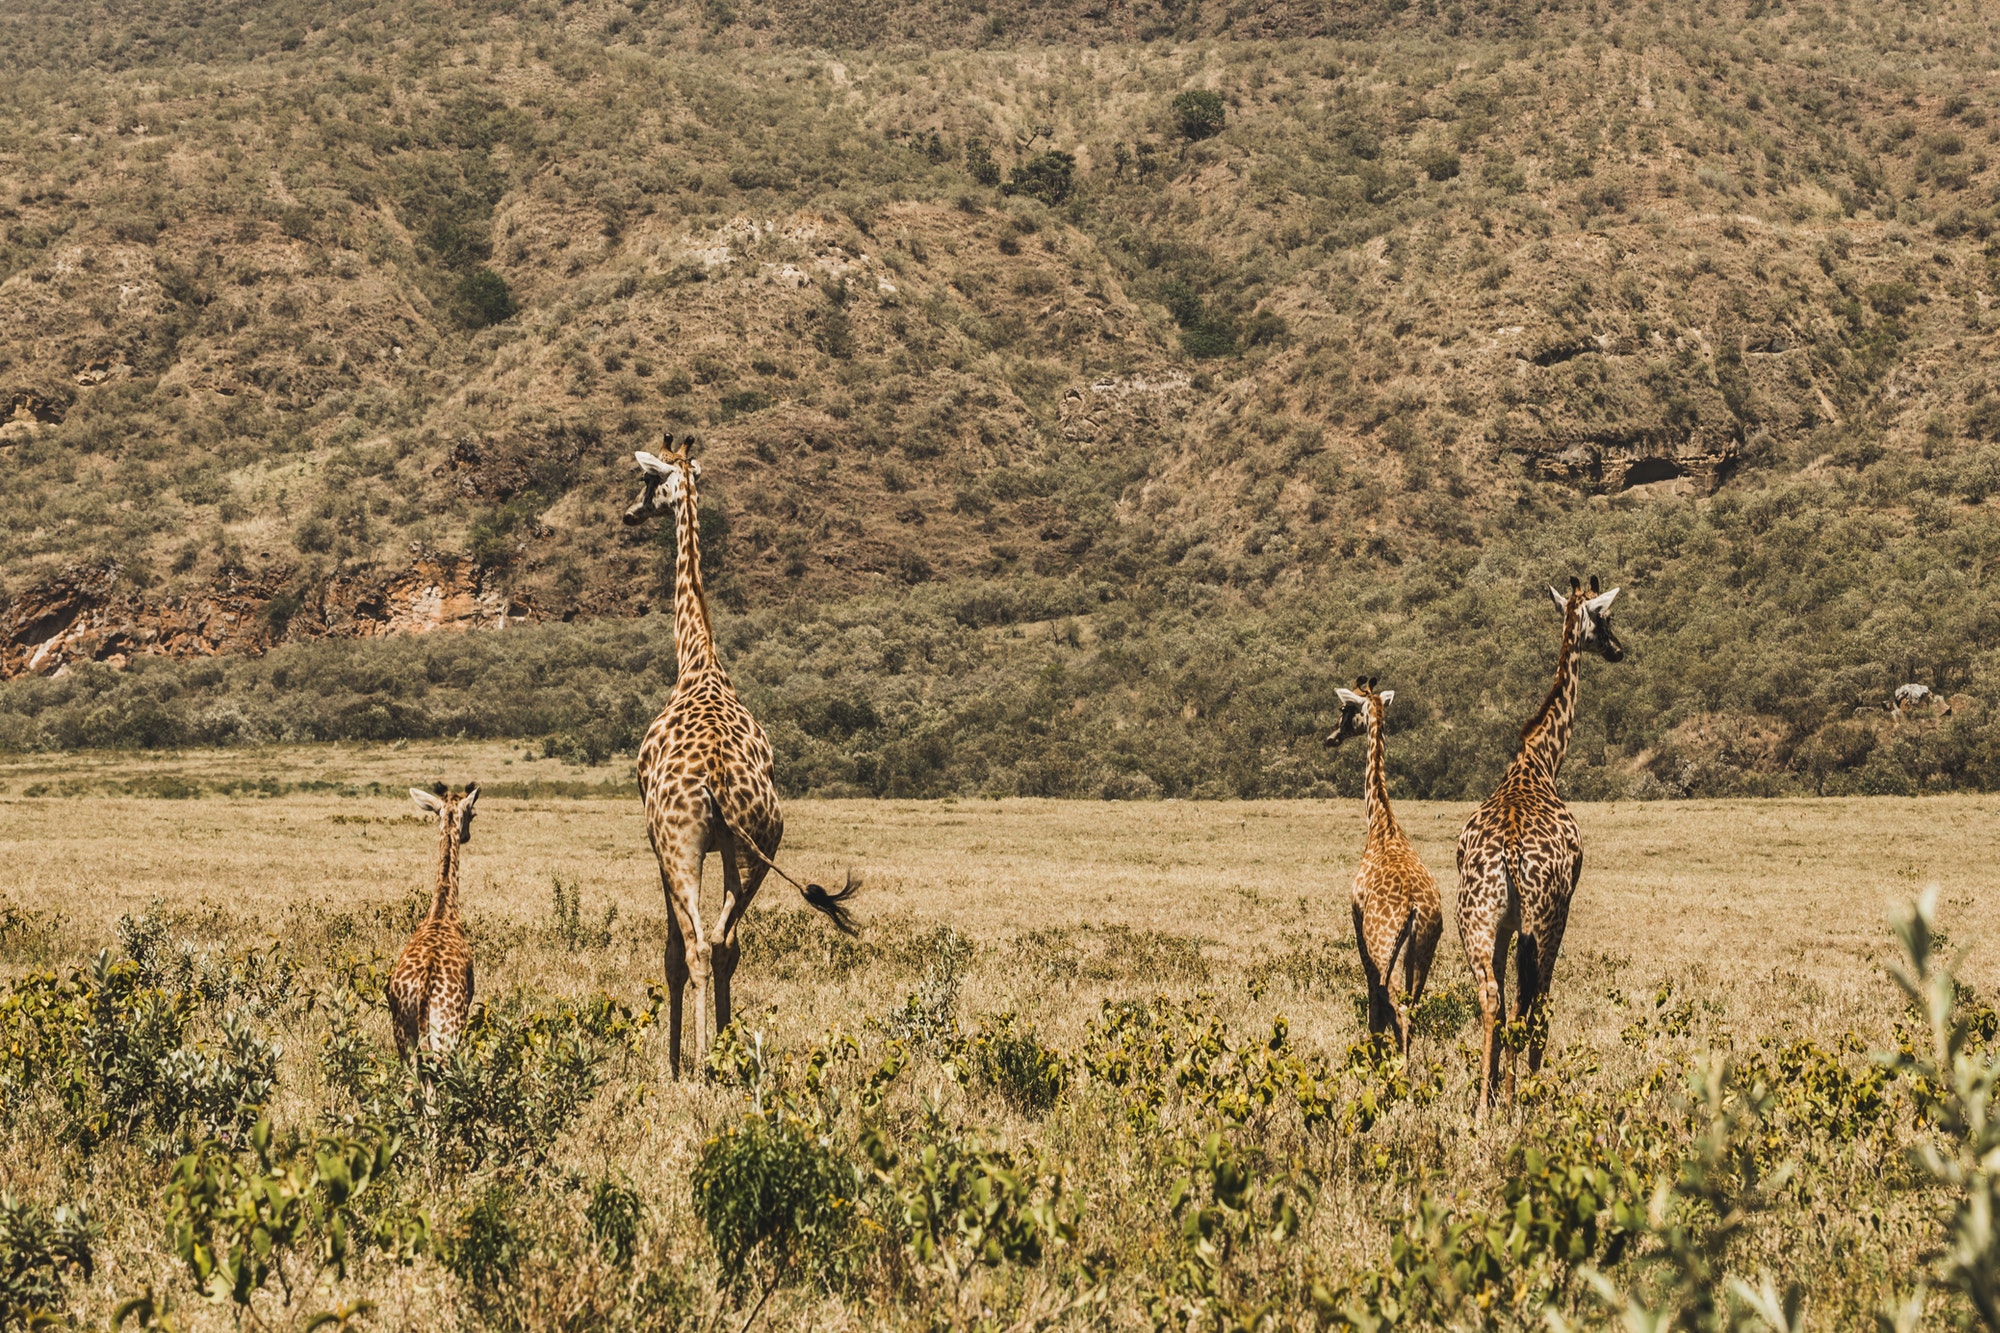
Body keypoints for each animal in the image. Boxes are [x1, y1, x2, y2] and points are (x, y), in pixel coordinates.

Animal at [390, 780, 484, 1056]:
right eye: (473, 814)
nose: (466, 836)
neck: (442, 910)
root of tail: (423, 993)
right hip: (447, 1031)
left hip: (403, 1032)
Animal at [616, 430, 852, 1072]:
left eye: (647, 480)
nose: (628, 514)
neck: (697, 660)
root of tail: (717, 780)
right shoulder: (729, 845)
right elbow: (724, 944)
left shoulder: (656, 841)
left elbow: (672, 949)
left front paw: (673, 1060)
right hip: (756, 848)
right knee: (726, 941)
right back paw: (723, 1051)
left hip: (681, 844)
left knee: (698, 944)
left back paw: (697, 1064)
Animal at [1328, 676, 1440, 1048]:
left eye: (1345, 709)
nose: (1331, 737)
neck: (1382, 826)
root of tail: (1415, 908)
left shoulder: (1358, 923)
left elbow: (1373, 1003)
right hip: (1424, 948)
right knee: (1412, 1009)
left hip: (1384, 944)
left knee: (1395, 1007)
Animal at [1456, 572, 1624, 1112]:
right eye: (1604, 618)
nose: (1619, 650)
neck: (1540, 759)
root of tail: (1509, 853)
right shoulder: (1560, 909)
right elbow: (1541, 1000)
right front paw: (1528, 1085)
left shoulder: (1504, 925)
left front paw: (1494, 1088)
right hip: (1544, 916)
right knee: (1531, 998)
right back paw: (1520, 1093)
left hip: (1475, 920)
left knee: (1491, 997)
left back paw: (1484, 1101)